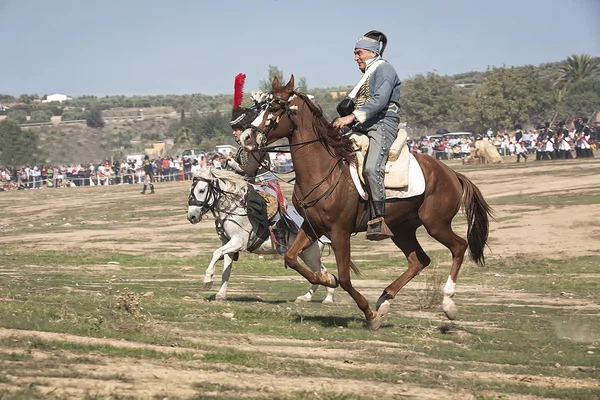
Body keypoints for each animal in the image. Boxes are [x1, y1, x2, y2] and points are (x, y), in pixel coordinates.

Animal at [186, 166, 336, 304]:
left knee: (320, 272)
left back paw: (326, 296)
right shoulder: (228, 244)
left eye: (201, 190)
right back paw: (309, 297)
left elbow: (216, 253)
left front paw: (207, 280)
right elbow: (225, 271)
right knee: (321, 272)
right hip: (306, 255)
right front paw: (220, 294)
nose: (191, 216)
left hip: (311, 256)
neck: (234, 209)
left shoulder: (238, 242)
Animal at [241, 76, 494, 332]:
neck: (323, 170)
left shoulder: (339, 231)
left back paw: (448, 303)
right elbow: (291, 258)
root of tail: (451, 173)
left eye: (274, 108)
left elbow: (344, 278)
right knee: (419, 260)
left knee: (459, 247)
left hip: (436, 224)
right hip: (402, 230)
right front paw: (327, 279)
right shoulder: (312, 227)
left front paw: (368, 313)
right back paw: (384, 301)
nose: (246, 138)